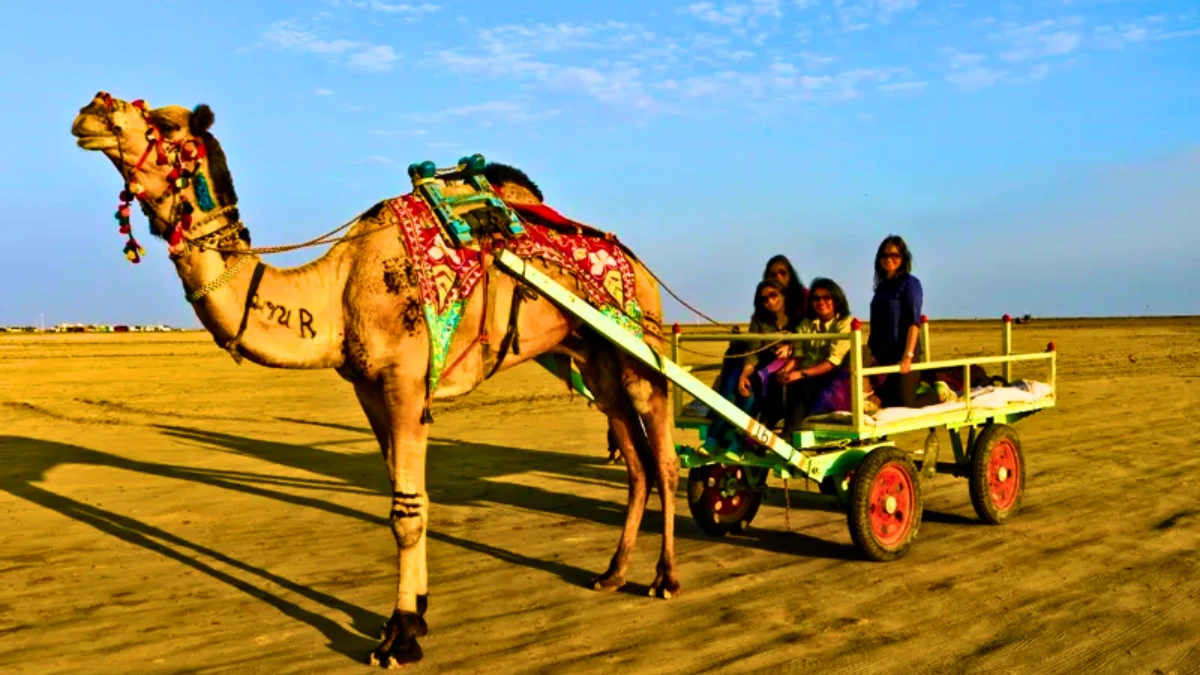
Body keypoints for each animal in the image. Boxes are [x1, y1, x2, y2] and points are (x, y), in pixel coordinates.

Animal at [68, 91, 686, 662]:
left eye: (163, 122)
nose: (89, 111)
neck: (338, 292)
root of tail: (639, 263)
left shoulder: (407, 382)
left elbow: (406, 511)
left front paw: (400, 635)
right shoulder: (367, 389)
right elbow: (405, 499)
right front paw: (416, 615)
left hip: (640, 345)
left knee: (665, 458)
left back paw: (664, 579)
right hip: (591, 357)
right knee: (634, 460)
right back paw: (612, 572)